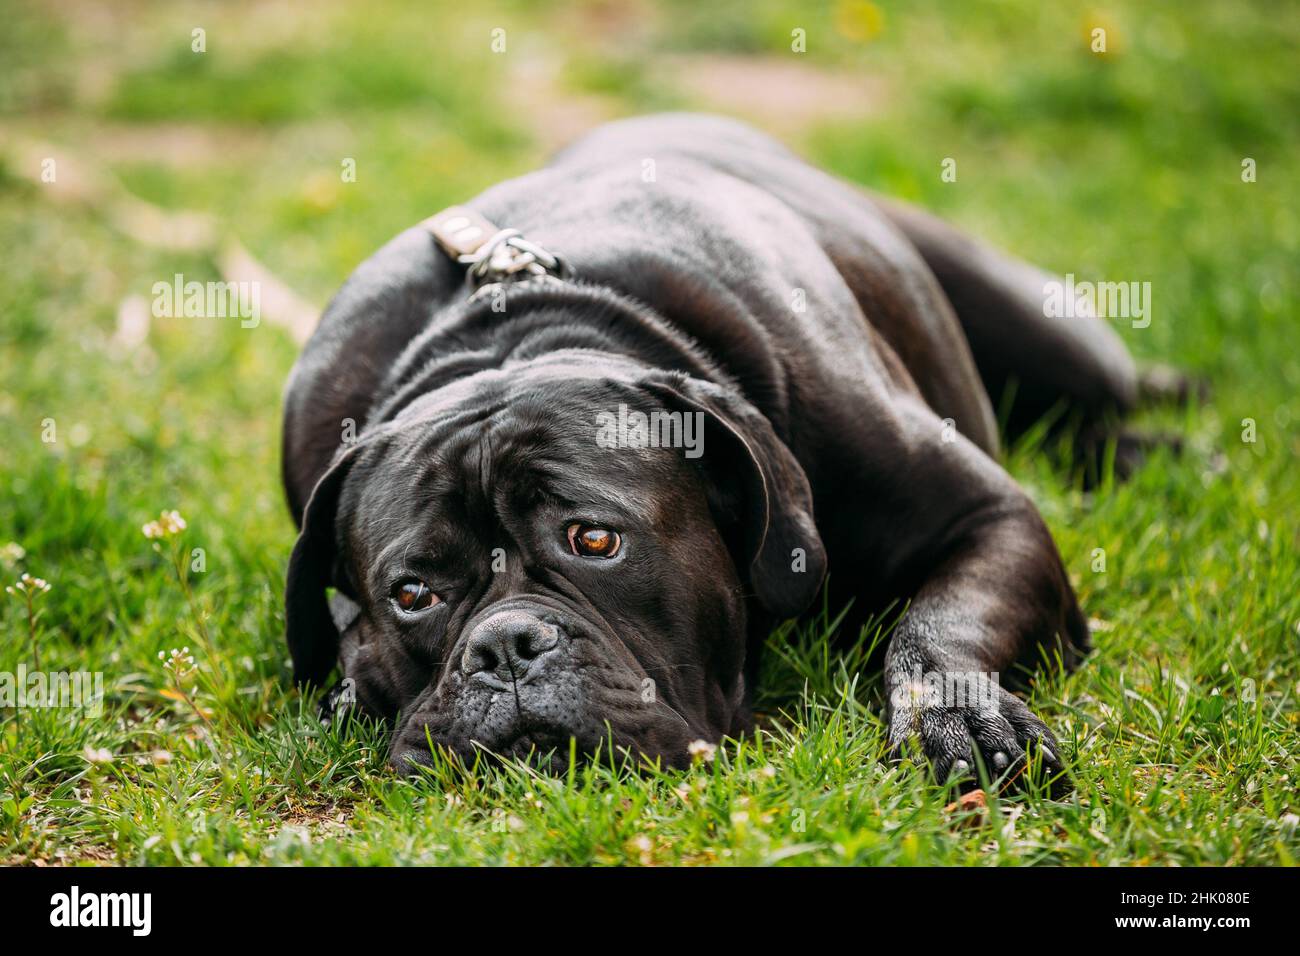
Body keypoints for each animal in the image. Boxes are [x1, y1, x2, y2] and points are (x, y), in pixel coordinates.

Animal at [279, 113, 1164, 785]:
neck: (511, 337)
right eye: (412, 595)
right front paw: (354, 680)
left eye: (594, 540)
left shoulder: (987, 517)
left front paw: (957, 719)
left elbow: (939, 622)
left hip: (1050, 331)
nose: (506, 646)